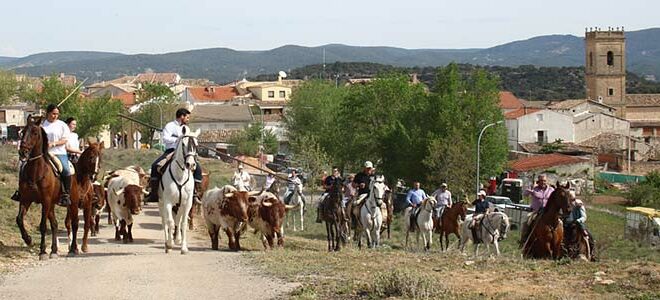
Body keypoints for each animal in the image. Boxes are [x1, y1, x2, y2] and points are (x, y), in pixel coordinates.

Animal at [15, 115, 80, 260]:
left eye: (34, 133)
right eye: (23, 132)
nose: (23, 152)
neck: (36, 172)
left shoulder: (45, 200)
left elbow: (43, 226)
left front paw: (42, 251)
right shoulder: (25, 200)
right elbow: (19, 219)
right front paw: (28, 239)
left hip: (71, 203)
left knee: (74, 223)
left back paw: (73, 249)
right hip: (52, 204)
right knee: (55, 224)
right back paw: (54, 251)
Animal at [157, 125, 199, 254]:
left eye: (196, 145)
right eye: (184, 144)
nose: (190, 164)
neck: (180, 176)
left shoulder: (187, 203)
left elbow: (183, 223)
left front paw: (183, 247)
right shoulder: (168, 202)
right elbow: (170, 222)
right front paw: (170, 244)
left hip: (179, 205)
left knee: (178, 220)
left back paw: (177, 239)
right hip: (161, 204)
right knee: (165, 221)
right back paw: (167, 243)